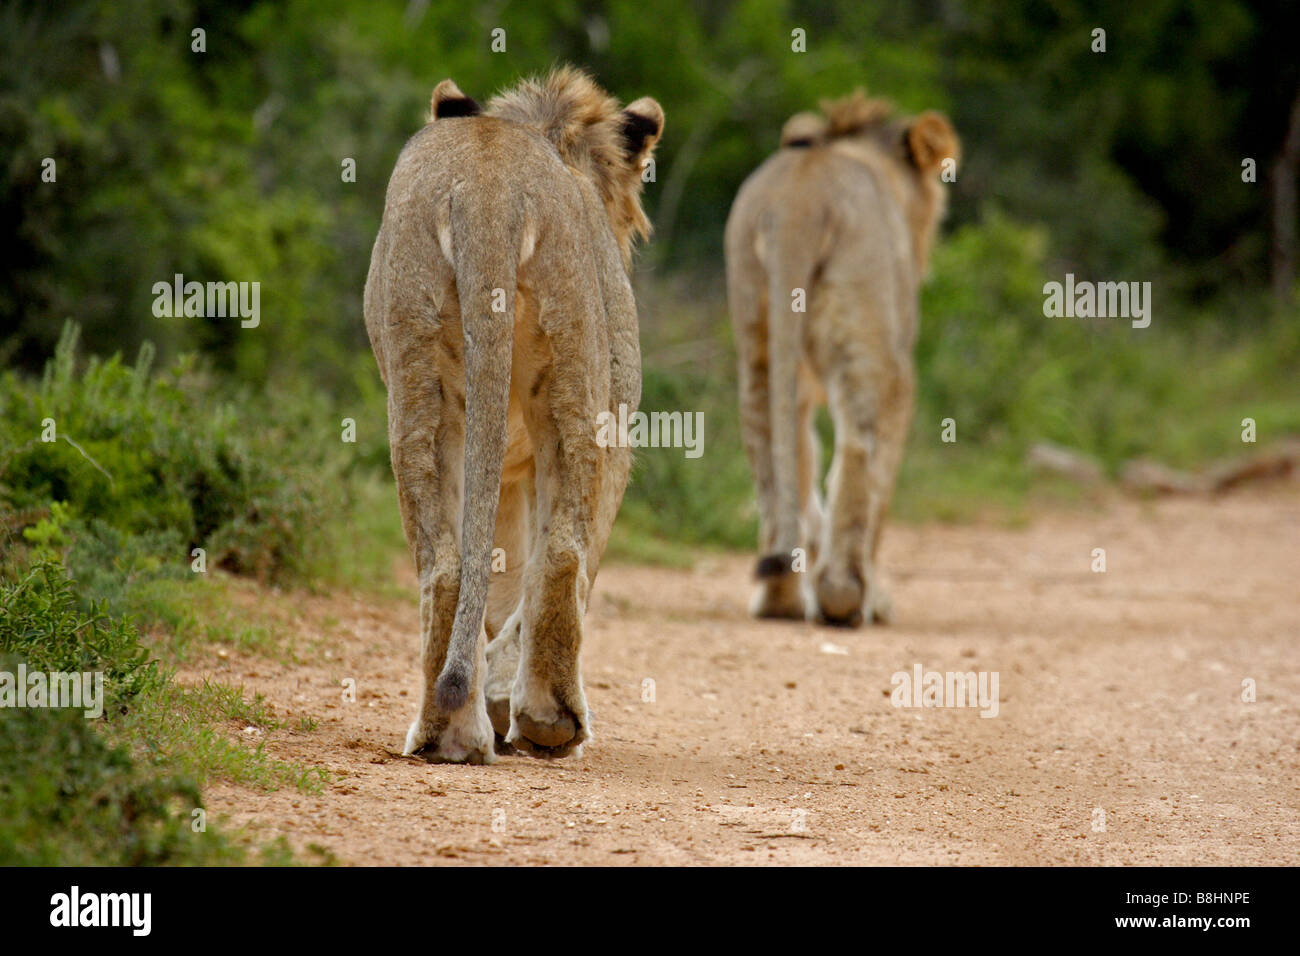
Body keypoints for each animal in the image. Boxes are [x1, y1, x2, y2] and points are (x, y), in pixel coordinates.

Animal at [364, 67, 663, 763]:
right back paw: (552, 720)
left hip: (420, 382)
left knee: (446, 565)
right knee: (563, 552)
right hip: (578, 382)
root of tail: (489, 189)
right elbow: (547, 576)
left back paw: (449, 734)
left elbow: (495, 579)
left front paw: (495, 697)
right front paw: (507, 698)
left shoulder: (503, 468)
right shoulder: (618, 433)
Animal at [724, 90, 958, 626]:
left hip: (757, 331)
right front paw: (874, 598)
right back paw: (846, 598)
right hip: (868, 344)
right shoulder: (899, 370)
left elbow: (800, 464)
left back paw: (780, 599)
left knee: (773, 446)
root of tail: (798, 201)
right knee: (859, 450)